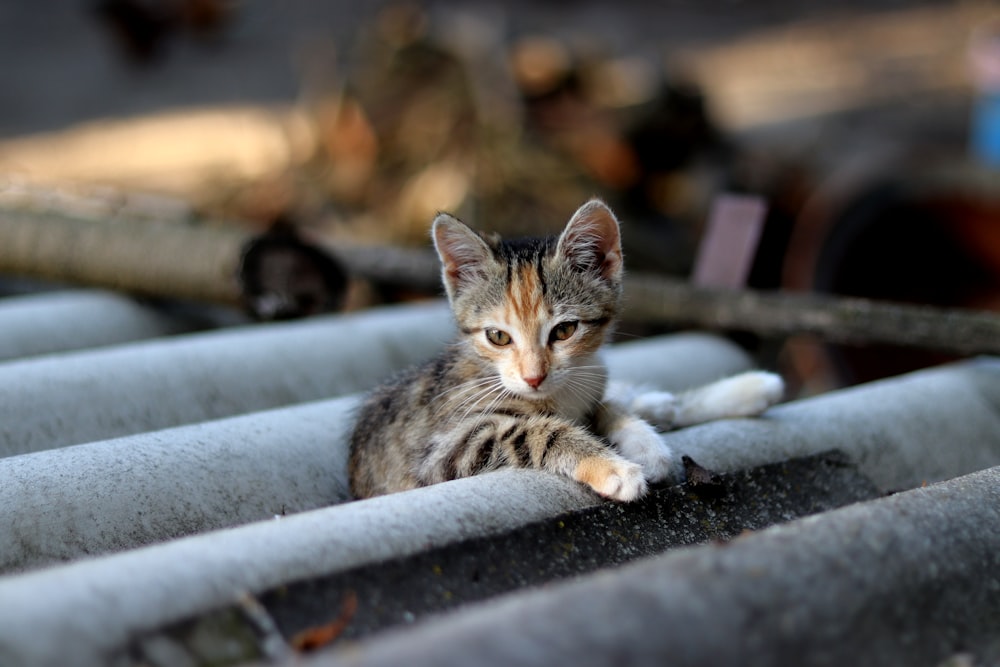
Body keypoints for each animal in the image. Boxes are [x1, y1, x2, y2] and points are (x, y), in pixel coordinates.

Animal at [348, 198, 784, 500]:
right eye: (498, 337)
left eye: (565, 330)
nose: (533, 376)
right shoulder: (445, 450)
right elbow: (537, 431)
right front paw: (613, 469)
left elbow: (604, 408)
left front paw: (644, 444)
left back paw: (750, 389)